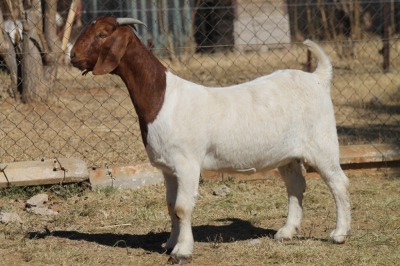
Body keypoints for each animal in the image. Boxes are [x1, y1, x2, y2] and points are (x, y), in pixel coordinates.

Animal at [70, 17, 352, 264]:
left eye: (102, 35)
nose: (72, 56)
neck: (163, 99)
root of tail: (318, 77)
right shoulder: (168, 168)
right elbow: (170, 205)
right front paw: (170, 243)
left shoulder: (187, 163)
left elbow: (182, 207)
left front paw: (182, 251)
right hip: (288, 154)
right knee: (295, 186)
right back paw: (286, 232)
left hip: (322, 142)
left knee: (338, 182)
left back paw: (339, 234)